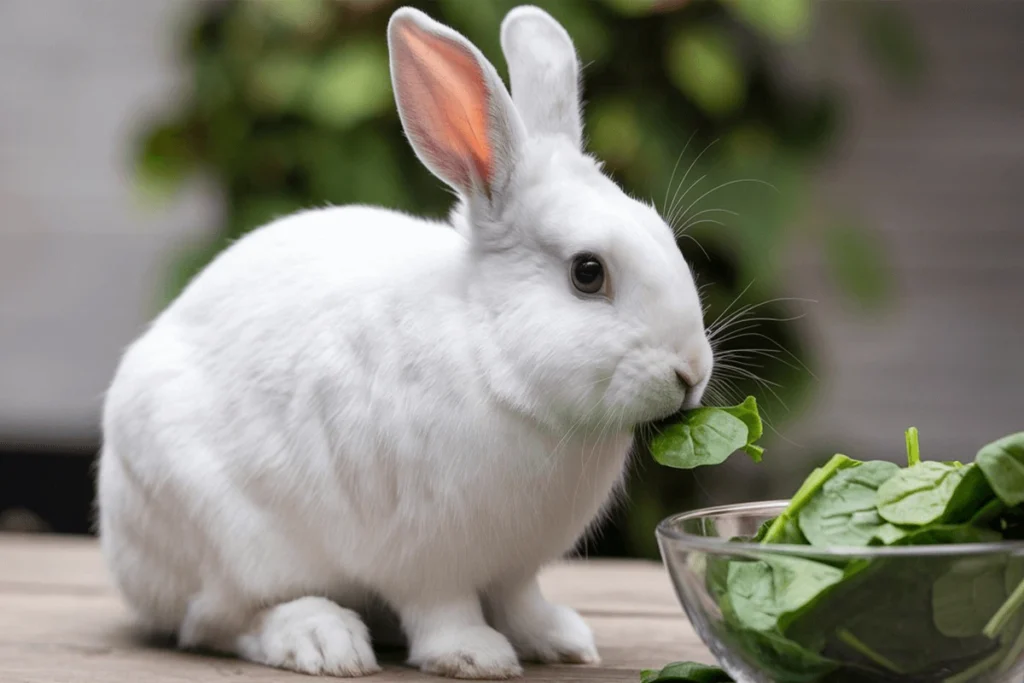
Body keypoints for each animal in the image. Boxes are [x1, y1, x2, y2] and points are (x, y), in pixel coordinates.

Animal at [99, 3, 716, 679]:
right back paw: (324, 642)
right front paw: (475, 656)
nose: (691, 372)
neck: (494, 362)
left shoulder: (515, 566)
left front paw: (559, 640)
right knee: (219, 621)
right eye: (587, 272)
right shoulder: (425, 554)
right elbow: (443, 609)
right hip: (226, 538)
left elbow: (520, 600)